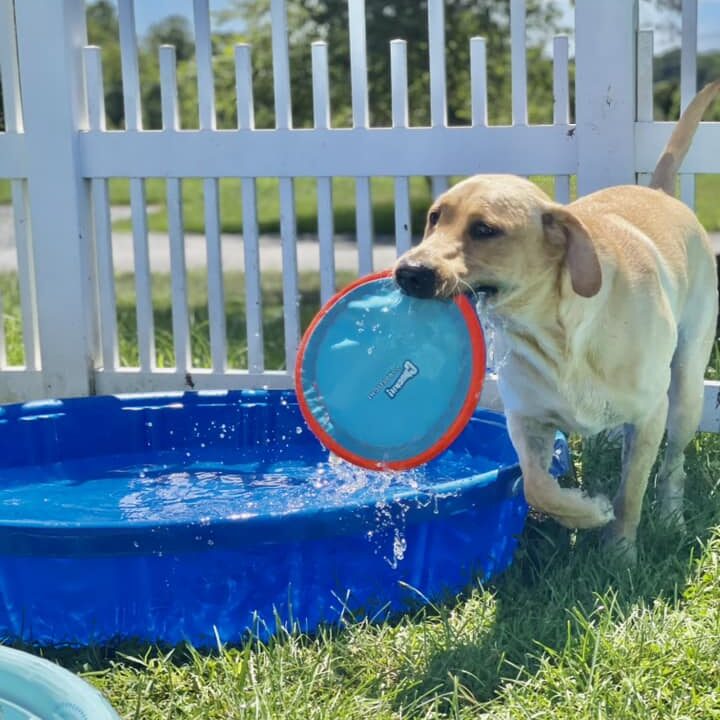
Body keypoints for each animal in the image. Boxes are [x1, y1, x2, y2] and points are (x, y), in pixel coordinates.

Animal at [394, 81, 720, 560]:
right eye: (435, 217)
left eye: (484, 230)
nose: (407, 272)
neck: (555, 332)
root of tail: (659, 192)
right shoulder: (526, 419)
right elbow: (537, 486)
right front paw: (585, 511)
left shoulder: (649, 415)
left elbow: (630, 493)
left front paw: (619, 550)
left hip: (686, 391)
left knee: (673, 464)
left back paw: (670, 517)